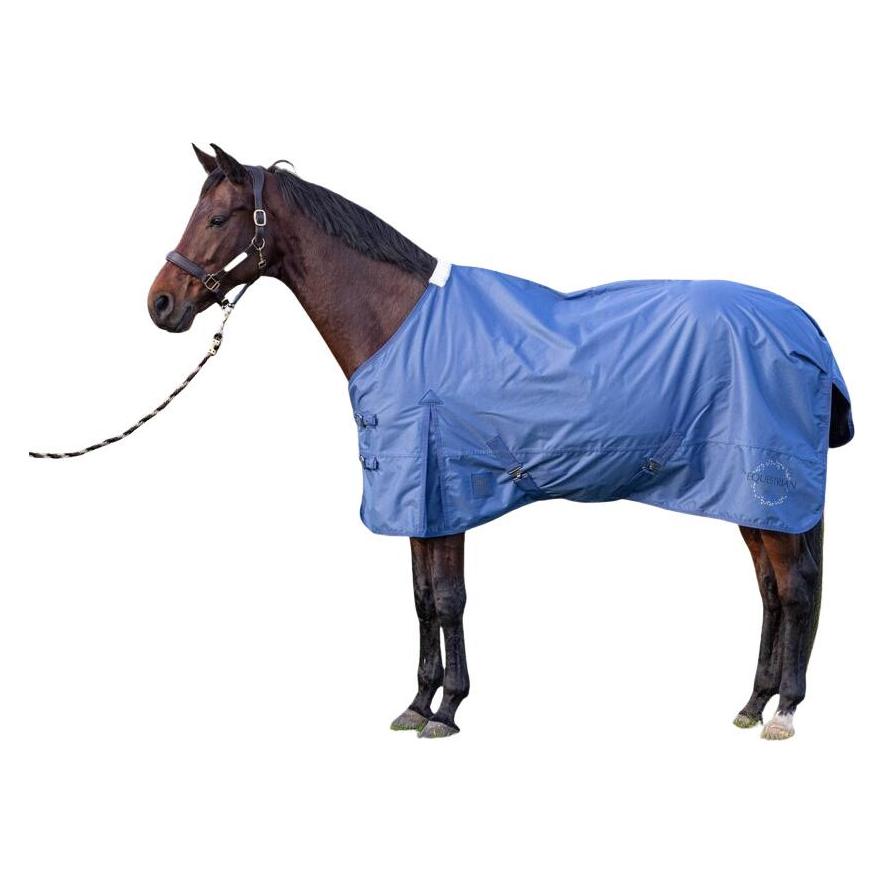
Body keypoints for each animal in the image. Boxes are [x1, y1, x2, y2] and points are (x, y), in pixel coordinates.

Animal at [148, 144, 853, 740]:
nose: (160, 304)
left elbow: (448, 599)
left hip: (768, 490)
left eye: (217, 218)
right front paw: (418, 703)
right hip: (751, 500)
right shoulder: (420, 501)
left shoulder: (445, 489)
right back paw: (753, 702)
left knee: (795, 590)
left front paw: (448, 710)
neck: (399, 324)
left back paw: (784, 711)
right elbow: (423, 599)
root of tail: (805, 327)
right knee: (770, 592)